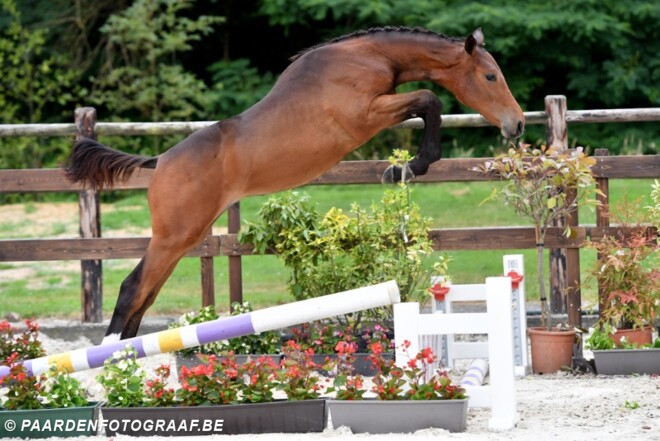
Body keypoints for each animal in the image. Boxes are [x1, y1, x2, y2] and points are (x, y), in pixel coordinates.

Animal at [65, 26, 525, 344]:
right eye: (489, 76)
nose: (517, 125)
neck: (369, 57)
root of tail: (160, 162)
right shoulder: (366, 115)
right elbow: (431, 100)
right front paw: (409, 168)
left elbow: (429, 103)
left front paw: (406, 168)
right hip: (172, 237)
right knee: (132, 289)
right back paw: (111, 360)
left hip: (183, 240)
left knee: (145, 296)